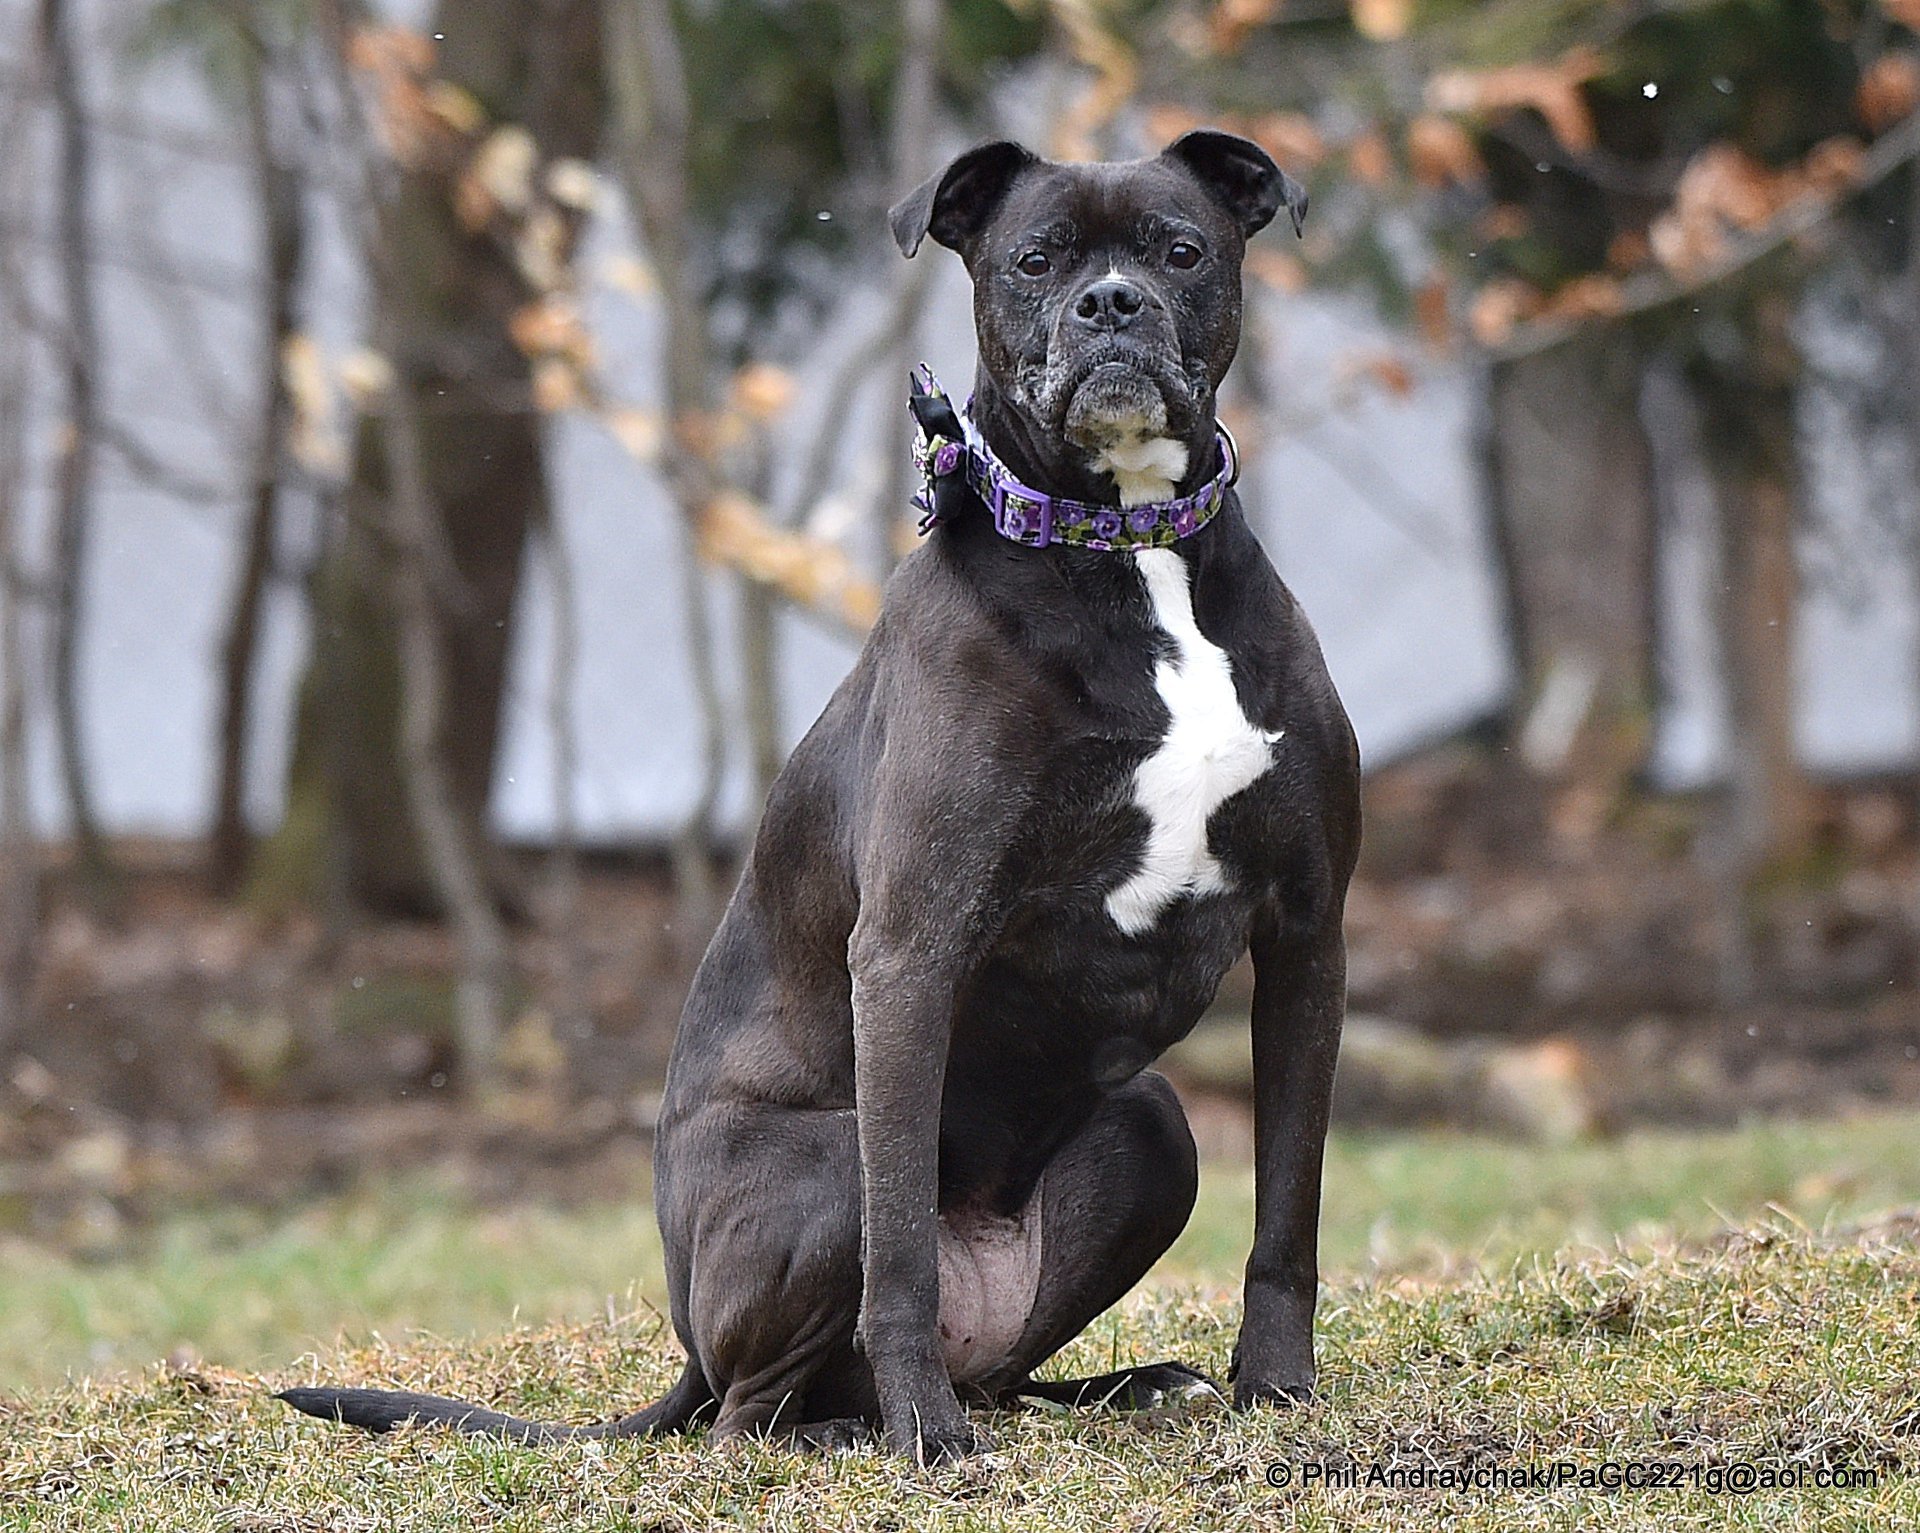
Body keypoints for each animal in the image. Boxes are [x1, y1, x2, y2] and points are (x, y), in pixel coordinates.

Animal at [284, 128, 1367, 1467]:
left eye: (1180, 250)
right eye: (1036, 258)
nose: (1111, 306)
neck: (1129, 549)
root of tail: (688, 1346)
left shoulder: (1308, 933)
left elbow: (1290, 1209)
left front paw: (1277, 1389)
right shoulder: (909, 951)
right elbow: (899, 1249)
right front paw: (926, 1443)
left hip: (1153, 1127)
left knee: (993, 1370)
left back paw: (1130, 1387)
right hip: (822, 1168)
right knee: (760, 1407)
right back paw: (867, 1429)